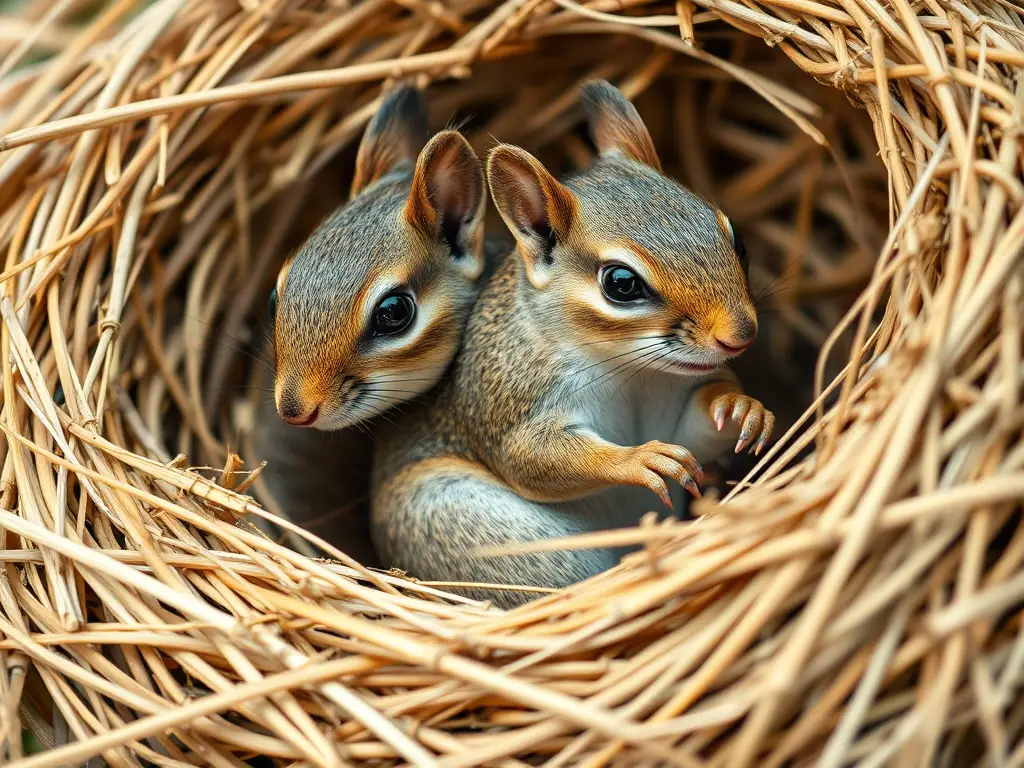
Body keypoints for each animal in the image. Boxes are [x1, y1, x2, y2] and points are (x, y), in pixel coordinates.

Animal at [370, 80, 774, 608]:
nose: (740, 335)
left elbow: (695, 434)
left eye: (736, 238)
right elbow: (533, 458)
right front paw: (636, 458)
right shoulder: (514, 400)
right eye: (621, 283)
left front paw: (740, 406)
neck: (632, 372)